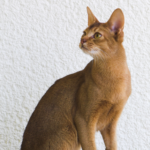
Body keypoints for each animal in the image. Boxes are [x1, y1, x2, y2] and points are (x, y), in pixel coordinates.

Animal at [20, 6, 131, 149]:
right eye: (84, 33)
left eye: (97, 35)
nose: (82, 40)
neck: (115, 75)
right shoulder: (83, 119)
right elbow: (91, 146)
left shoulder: (110, 123)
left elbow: (112, 145)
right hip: (67, 133)